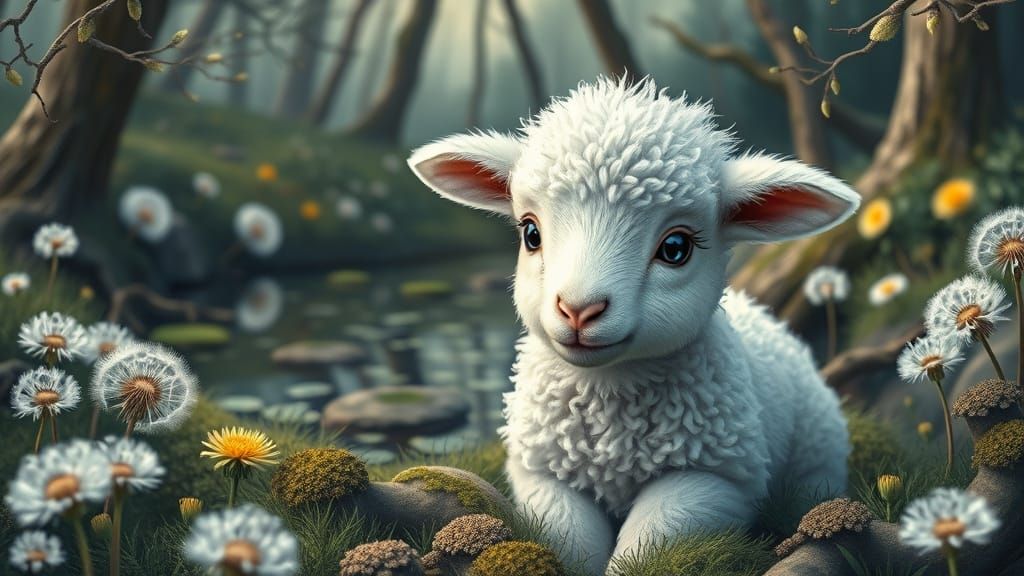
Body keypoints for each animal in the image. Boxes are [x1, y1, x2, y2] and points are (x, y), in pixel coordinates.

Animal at [406, 77, 858, 575]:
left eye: (676, 247)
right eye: (530, 233)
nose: (578, 309)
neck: (609, 397)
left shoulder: (714, 473)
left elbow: (650, 542)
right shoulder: (543, 469)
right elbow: (568, 539)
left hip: (817, 446)